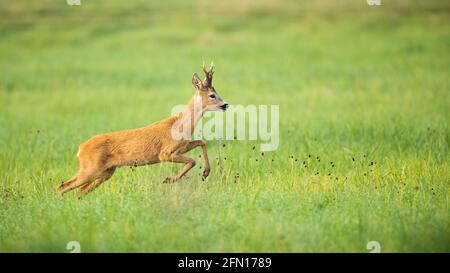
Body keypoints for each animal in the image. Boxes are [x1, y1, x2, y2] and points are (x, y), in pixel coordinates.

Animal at [58, 63, 229, 196]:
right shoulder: (165, 153)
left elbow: (201, 142)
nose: (225, 105)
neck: (180, 124)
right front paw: (169, 179)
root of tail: (80, 149)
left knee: (80, 191)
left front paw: (205, 173)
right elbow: (192, 160)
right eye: (212, 95)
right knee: (63, 186)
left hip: (106, 172)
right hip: (91, 168)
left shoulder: (182, 146)